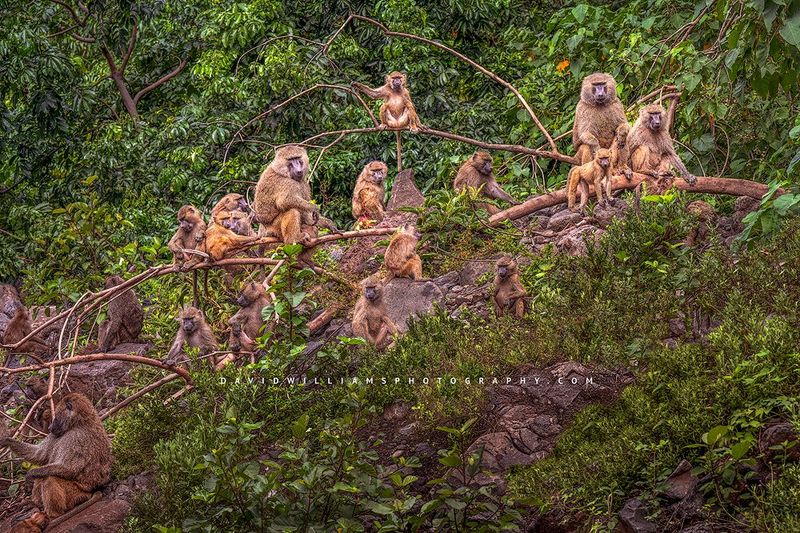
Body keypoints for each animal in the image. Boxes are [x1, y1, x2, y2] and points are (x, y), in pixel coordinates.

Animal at [0, 392, 112, 529]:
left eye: (57, 417)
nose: (50, 427)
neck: (79, 423)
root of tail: (92, 490)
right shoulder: (56, 435)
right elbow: (38, 455)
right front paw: (6, 440)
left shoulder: (76, 438)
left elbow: (68, 469)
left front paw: (29, 475)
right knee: (43, 474)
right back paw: (34, 505)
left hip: (77, 493)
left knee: (49, 478)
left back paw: (53, 516)